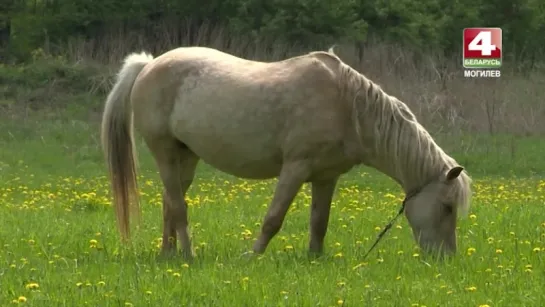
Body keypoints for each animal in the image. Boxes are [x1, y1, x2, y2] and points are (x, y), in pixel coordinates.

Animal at [101, 46, 472, 262]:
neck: (348, 107)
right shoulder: (295, 168)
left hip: (186, 156)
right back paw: (188, 256)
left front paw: (314, 259)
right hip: (164, 151)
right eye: (447, 207)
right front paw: (251, 258)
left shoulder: (326, 177)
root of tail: (148, 66)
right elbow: (273, 218)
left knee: (169, 203)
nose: (445, 259)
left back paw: (169, 255)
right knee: (178, 207)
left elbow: (319, 222)